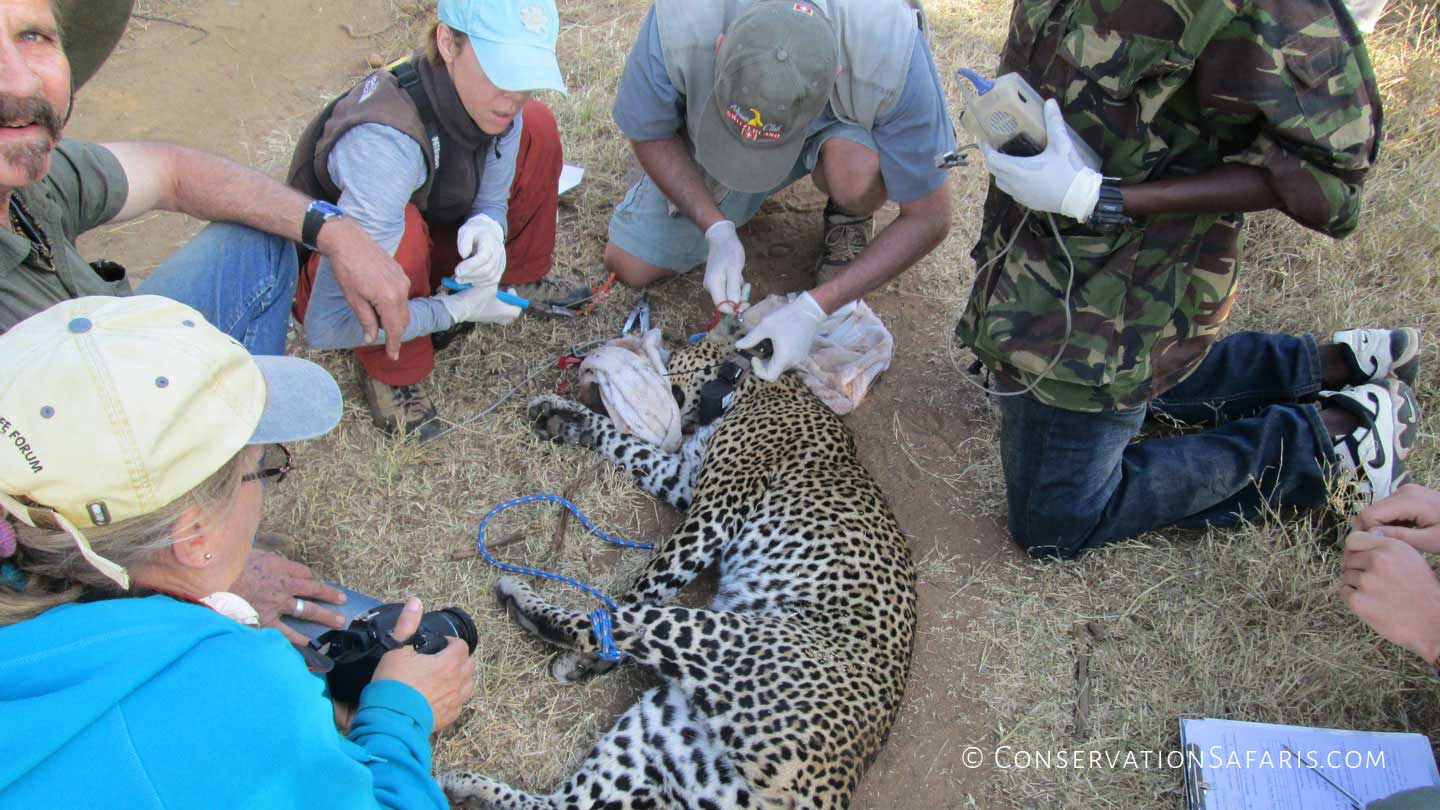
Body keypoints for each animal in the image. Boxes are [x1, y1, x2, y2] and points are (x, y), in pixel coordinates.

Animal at [437, 335, 915, 807]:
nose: (662, 363)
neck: (746, 384)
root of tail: (830, 792)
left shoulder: (713, 513)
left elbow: (650, 580)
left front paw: (591, 662)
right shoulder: (682, 478)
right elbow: (626, 442)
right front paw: (563, 414)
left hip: (721, 634)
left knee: (612, 622)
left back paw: (529, 605)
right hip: (664, 732)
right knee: (561, 805)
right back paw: (463, 783)